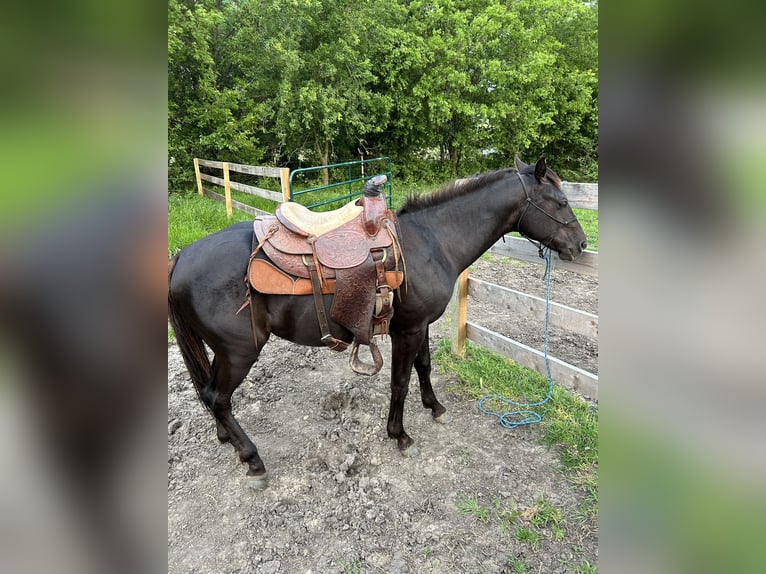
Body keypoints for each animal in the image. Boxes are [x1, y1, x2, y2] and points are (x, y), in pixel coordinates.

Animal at [168, 158, 588, 490]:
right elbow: (399, 382)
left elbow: (424, 367)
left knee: (208, 394)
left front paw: (435, 407)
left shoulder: (420, 326)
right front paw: (399, 434)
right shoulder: (408, 330)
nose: (581, 245)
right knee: (217, 398)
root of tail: (181, 257)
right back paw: (252, 459)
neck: (433, 243)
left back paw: (227, 439)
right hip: (240, 352)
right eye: (562, 202)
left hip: (223, 352)